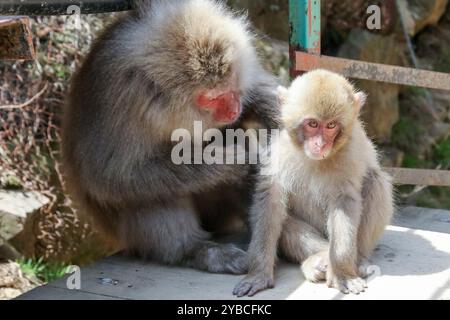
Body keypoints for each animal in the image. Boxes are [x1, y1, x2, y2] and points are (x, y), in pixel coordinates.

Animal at [62, 0, 282, 276]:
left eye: (231, 86)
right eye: (211, 98)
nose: (233, 110)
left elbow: (257, 93)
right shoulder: (121, 101)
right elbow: (111, 176)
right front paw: (233, 161)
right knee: (154, 192)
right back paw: (197, 251)